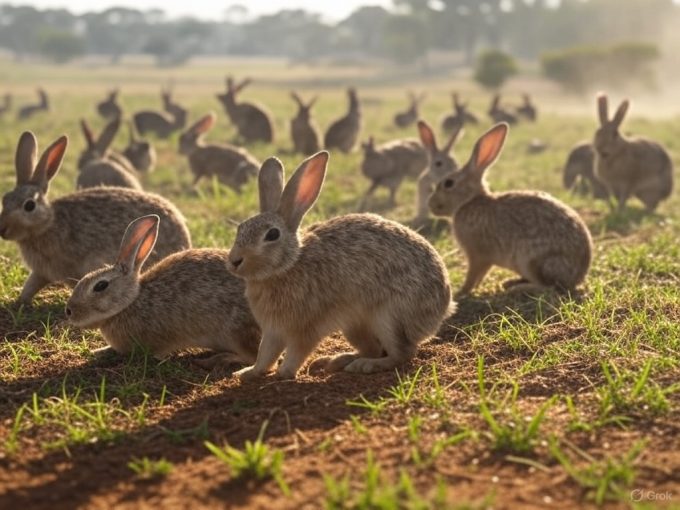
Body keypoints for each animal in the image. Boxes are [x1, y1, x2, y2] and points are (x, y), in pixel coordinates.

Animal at [0, 131, 191, 306]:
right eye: (5, 199)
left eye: (29, 206)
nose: (3, 230)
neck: (47, 224)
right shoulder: (41, 271)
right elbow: (31, 285)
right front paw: (20, 302)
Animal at [66, 214, 262, 362]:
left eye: (100, 286)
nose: (68, 311)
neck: (130, 303)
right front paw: (98, 351)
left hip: (237, 332)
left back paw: (222, 359)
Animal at [226, 149, 454, 380]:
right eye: (241, 228)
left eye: (272, 235)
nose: (234, 261)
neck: (287, 265)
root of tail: (443, 307)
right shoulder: (273, 330)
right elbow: (265, 354)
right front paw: (247, 373)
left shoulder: (306, 327)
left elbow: (297, 351)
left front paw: (283, 373)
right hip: (354, 326)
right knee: (373, 348)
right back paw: (334, 361)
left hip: (389, 317)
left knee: (401, 353)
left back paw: (365, 365)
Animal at [430, 123, 596, 296]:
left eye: (448, 183)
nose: (431, 204)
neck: (469, 201)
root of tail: (577, 277)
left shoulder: (478, 255)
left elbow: (473, 276)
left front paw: (460, 292)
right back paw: (512, 282)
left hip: (534, 261)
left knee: (550, 288)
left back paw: (517, 288)